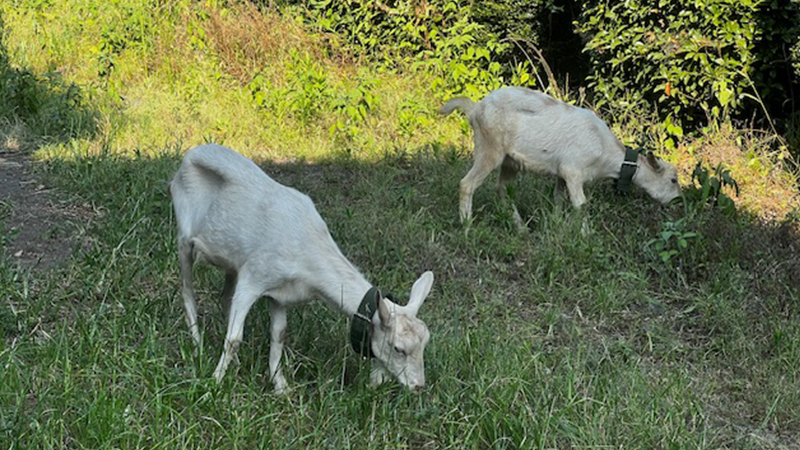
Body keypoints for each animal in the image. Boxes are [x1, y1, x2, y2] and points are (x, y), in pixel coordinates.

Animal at [167, 145, 432, 394]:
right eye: (398, 348)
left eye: (424, 343)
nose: (419, 386)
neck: (308, 251)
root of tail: (192, 153)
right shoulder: (253, 278)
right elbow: (234, 339)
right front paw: (214, 383)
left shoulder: (279, 294)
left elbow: (278, 335)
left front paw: (280, 386)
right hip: (184, 238)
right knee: (187, 290)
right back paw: (197, 344)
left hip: (232, 261)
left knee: (225, 298)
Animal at [438, 86, 680, 225]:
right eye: (673, 180)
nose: (678, 200)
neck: (606, 153)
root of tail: (475, 108)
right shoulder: (573, 171)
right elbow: (581, 205)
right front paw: (585, 235)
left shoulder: (562, 175)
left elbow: (558, 199)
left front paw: (556, 224)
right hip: (489, 149)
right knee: (467, 184)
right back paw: (467, 224)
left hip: (510, 161)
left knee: (503, 190)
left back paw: (520, 226)